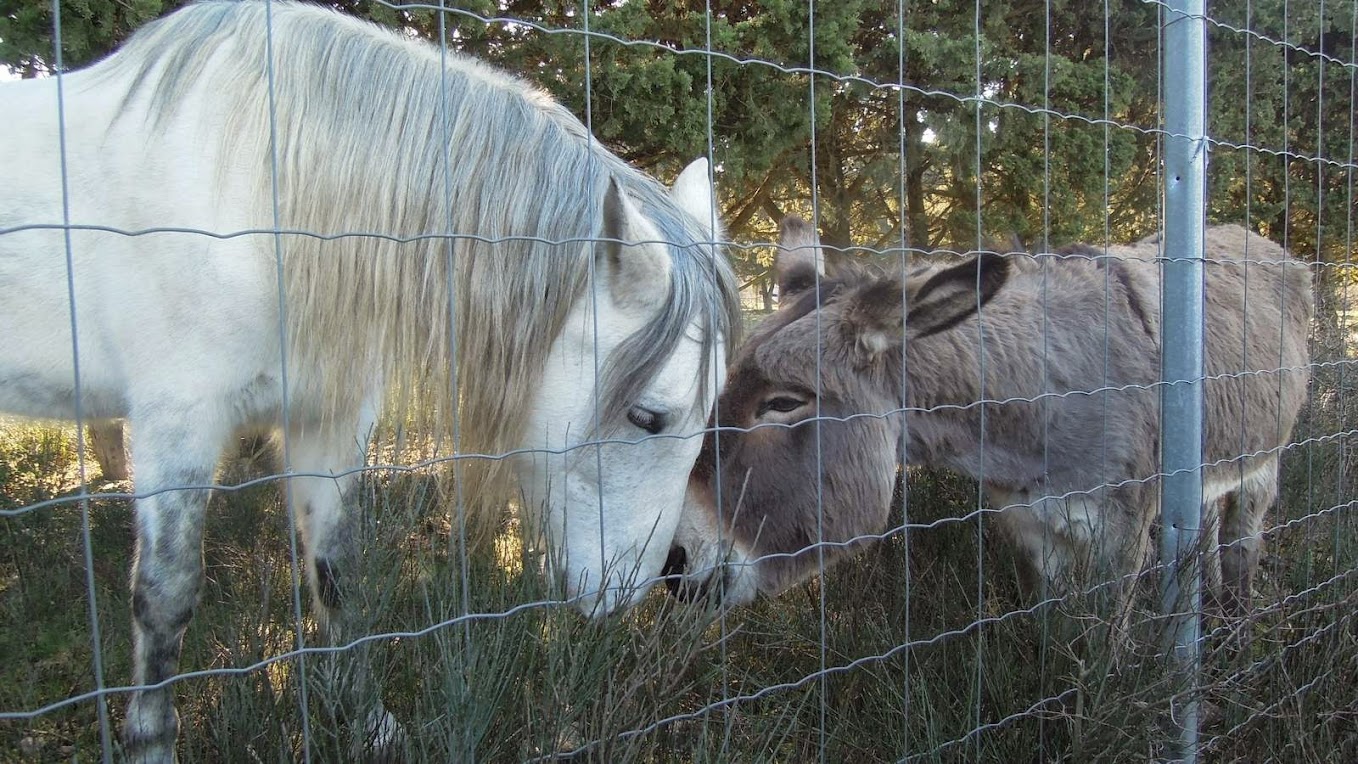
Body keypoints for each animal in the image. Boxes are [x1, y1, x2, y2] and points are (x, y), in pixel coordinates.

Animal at [2, 4, 744, 759]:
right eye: (646, 416)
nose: (679, 576)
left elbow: (338, 572)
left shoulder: (327, 423)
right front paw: (151, 742)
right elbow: (166, 600)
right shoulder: (176, 425)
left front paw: (365, 720)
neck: (263, 200)